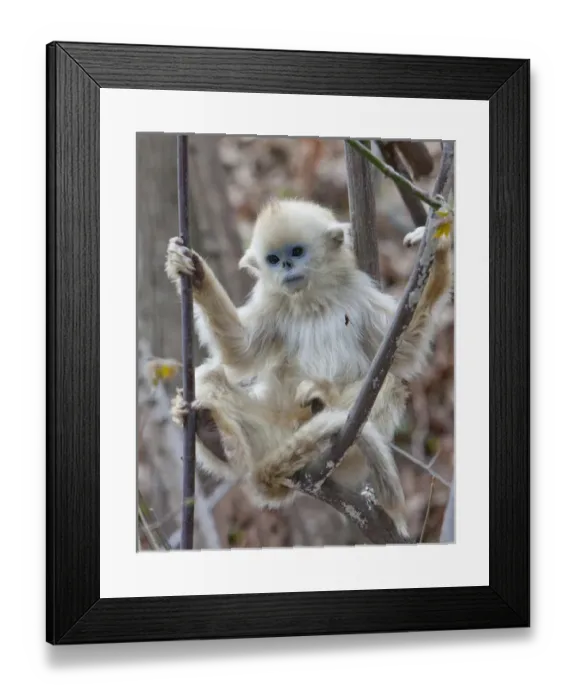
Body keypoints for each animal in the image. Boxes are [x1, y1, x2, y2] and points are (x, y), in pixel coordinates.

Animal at [165, 198, 453, 534]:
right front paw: (193, 271)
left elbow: (404, 351)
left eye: (297, 252)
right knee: (210, 377)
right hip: (268, 435)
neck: (313, 300)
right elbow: (240, 353)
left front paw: (439, 252)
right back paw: (211, 434)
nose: (286, 267)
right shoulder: (273, 303)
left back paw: (321, 401)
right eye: (274, 259)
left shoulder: (359, 293)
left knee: (390, 384)